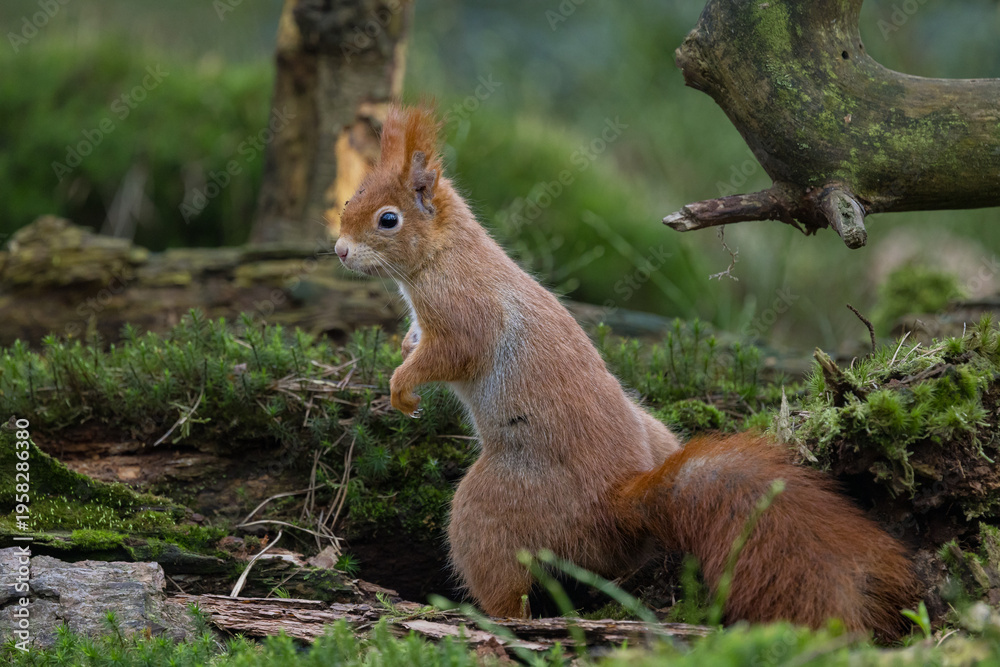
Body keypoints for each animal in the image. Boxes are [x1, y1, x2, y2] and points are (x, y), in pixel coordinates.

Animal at [334, 105, 921, 639]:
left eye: (388, 219)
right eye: (349, 197)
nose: (338, 251)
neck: (445, 255)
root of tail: (620, 498)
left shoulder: (464, 309)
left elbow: (453, 353)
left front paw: (402, 386)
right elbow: (419, 341)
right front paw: (404, 350)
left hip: (491, 506)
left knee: (505, 585)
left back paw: (488, 615)